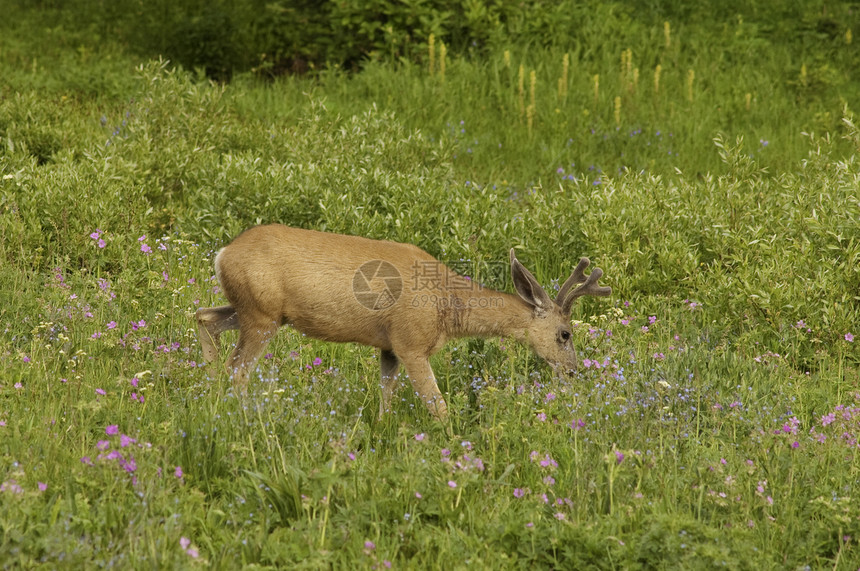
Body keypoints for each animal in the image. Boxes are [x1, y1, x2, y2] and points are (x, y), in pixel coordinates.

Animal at [197, 225, 612, 420]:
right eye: (565, 334)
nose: (574, 372)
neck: (449, 305)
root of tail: (223, 253)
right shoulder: (412, 341)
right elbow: (438, 406)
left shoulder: (389, 346)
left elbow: (386, 398)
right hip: (262, 315)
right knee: (239, 370)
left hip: (254, 310)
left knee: (204, 317)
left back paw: (209, 387)